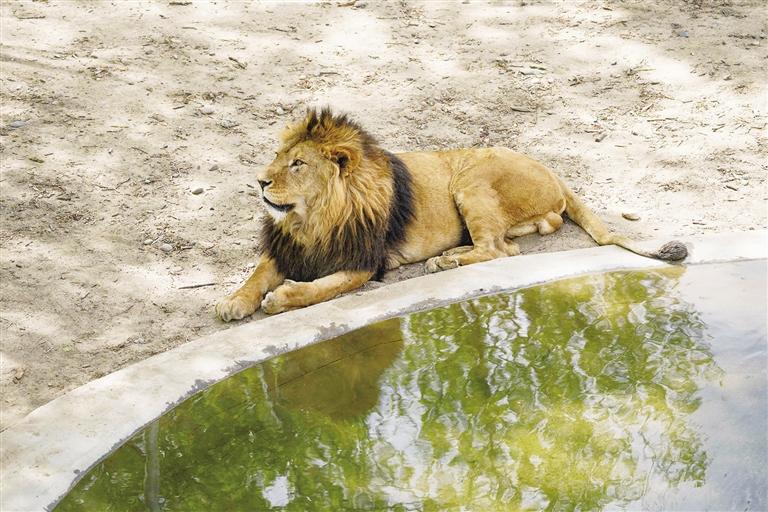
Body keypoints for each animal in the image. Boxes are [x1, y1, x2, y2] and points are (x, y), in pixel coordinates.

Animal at [215, 108, 687, 321]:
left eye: (297, 164)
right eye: (278, 157)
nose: (259, 181)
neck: (311, 218)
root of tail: (552, 171)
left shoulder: (364, 263)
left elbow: (320, 289)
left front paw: (283, 297)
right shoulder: (285, 248)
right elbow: (256, 274)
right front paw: (232, 301)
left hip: (469, 179)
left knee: (499, 249)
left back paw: (446, 262)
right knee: (511, 241)